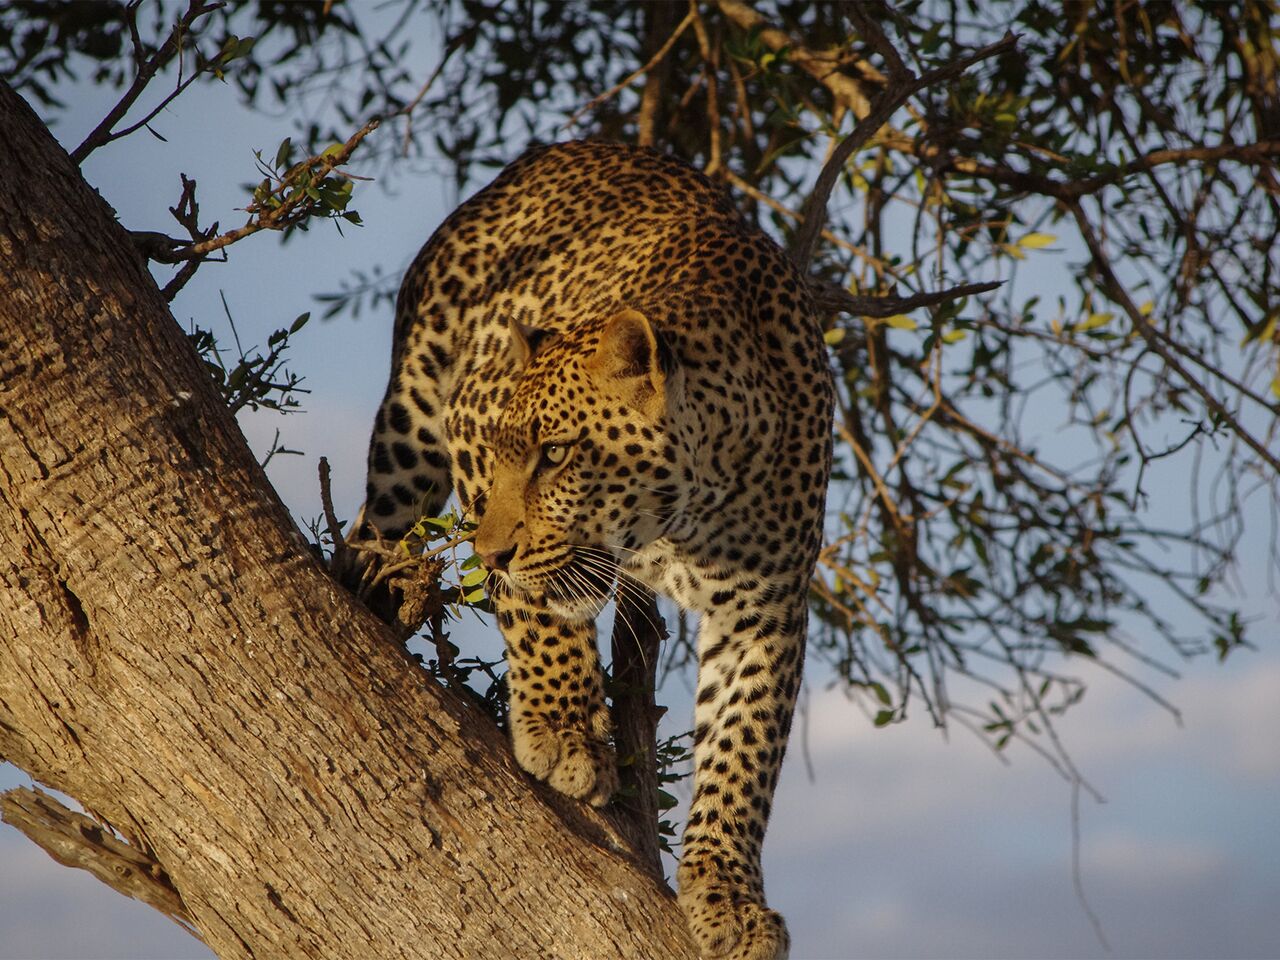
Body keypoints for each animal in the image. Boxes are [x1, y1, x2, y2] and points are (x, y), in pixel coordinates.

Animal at [355, 136, 834, 960]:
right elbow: (537, 612)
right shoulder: (469, 421)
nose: (490, 552)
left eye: (554, 455)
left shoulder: (766, 608)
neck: (687, 511)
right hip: (412, 426)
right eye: (509, 451)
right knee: (372, 526)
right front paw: (563, 730)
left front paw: (729, 898)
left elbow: (744, 751)